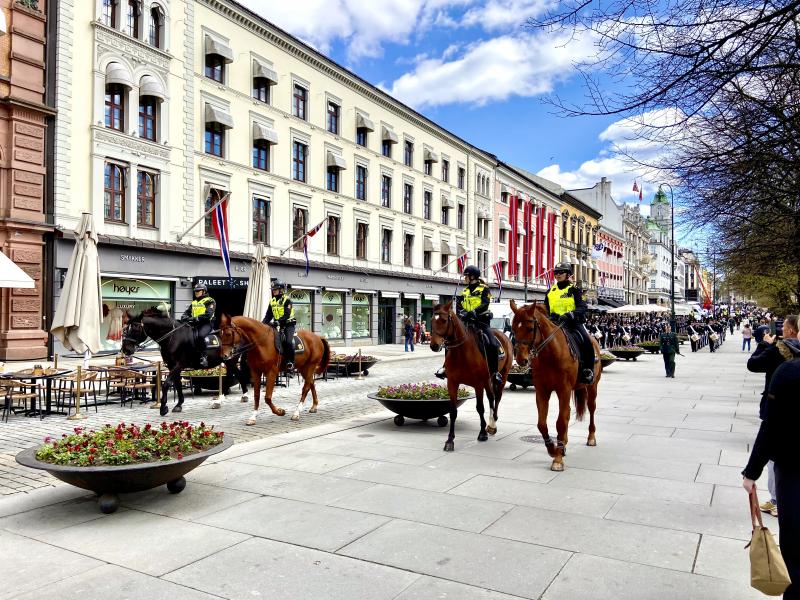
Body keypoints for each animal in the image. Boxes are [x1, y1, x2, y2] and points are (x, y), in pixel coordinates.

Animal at [432, 304, 512, 450]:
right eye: (431, 320)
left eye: (444, 321)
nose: (434, 345)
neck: (461, 353)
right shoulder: (452, 383)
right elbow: (453, 412)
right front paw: (450, 440)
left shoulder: (478, 384)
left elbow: (480, 408)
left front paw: (482, 434)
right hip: (487, 380)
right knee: (491, 397)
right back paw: (490, 424)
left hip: (502, 375)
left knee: (497, 397)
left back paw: (492, 425)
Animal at [512, 302, 600, 472]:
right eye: (513, 328)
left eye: (530, 328)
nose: (520, 359)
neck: (550, 354)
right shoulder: (542, 391)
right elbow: (542, 424)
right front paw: (553, 449)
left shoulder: (563, 390)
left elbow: (560, 422)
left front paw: (558, 459)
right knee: (567, 414)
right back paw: (563, 444)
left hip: (592, 386)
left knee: (591, 408)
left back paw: (591, 437)